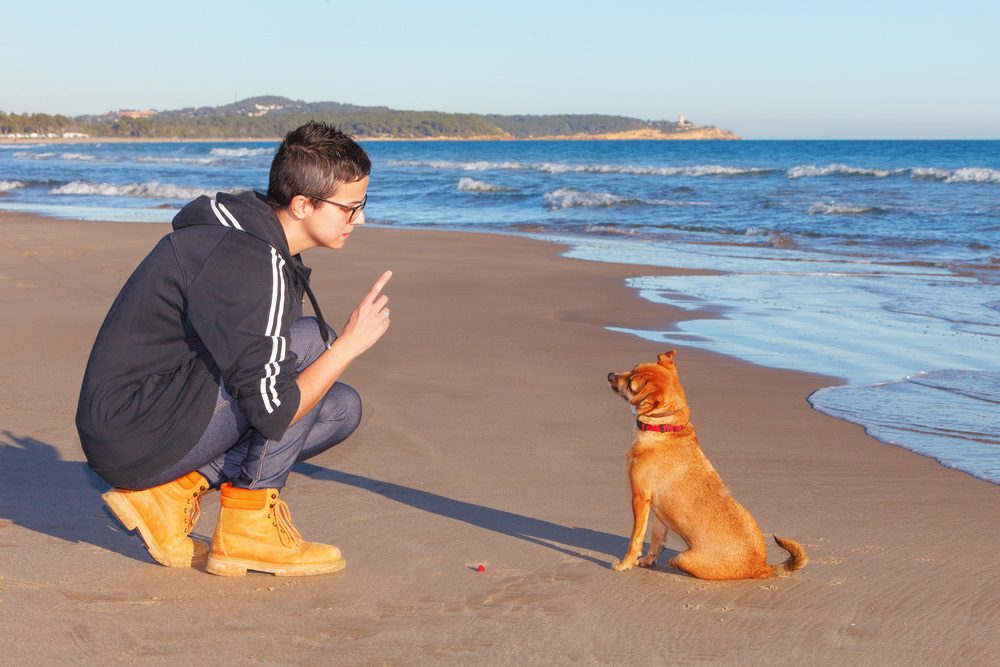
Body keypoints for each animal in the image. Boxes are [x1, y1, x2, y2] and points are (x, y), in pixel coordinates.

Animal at [604, 350, 808, 580]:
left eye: (631, 383)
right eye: (632, 368)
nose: (610, 375)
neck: (665, 429)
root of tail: (761, 566)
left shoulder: (640, 499)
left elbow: (635, 538)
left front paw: (625, 564)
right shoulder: (658, 512)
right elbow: (656, 539)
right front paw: (648, 561)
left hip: (684, 557)